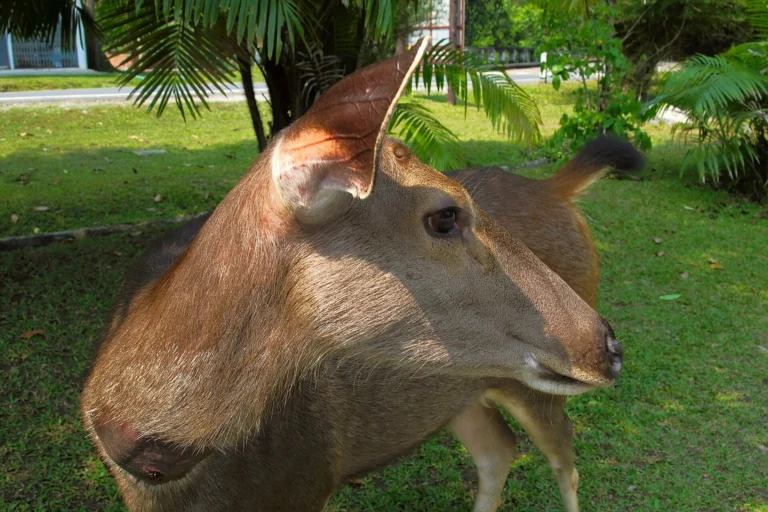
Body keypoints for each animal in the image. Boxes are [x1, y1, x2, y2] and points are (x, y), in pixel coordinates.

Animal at [80, 37, 629, 512]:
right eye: (445, 217)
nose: (610, 346)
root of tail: (559, 191)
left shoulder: (308, 481)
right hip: (461, 389)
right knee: (500, 449)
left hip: (529, 389)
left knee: (563, 455)